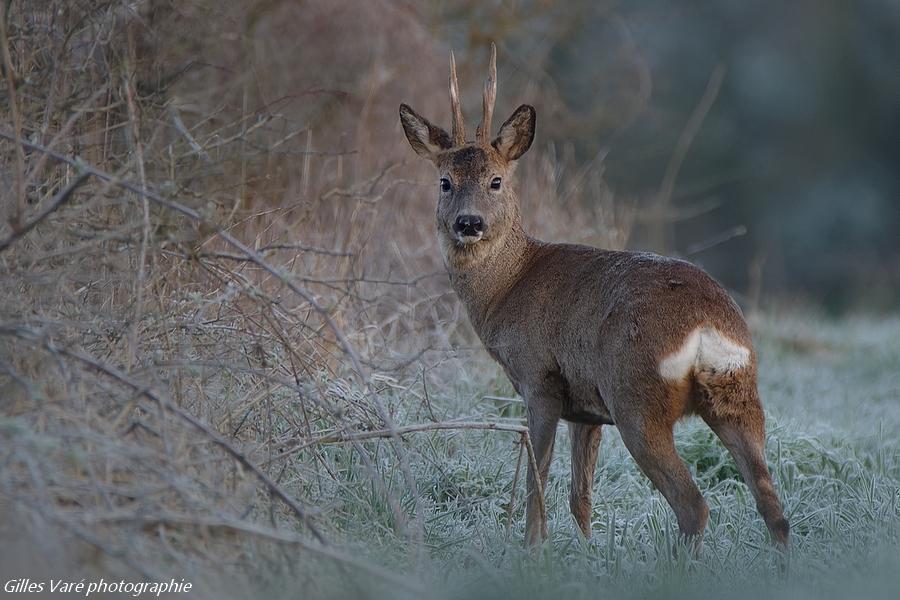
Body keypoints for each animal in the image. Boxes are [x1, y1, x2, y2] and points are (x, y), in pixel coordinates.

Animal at [400, 42, 788, 548]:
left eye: (496, 181)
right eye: (444, 181)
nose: (469, 222)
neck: (507, 287)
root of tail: (707, 326)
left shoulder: (540, 380)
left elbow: (538, 481)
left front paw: (531, 549)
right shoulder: (586, 410)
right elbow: (579, 497)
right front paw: (585, 551)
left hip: (636, 398)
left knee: (694, 505)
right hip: (737, 395)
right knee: (772, 505)